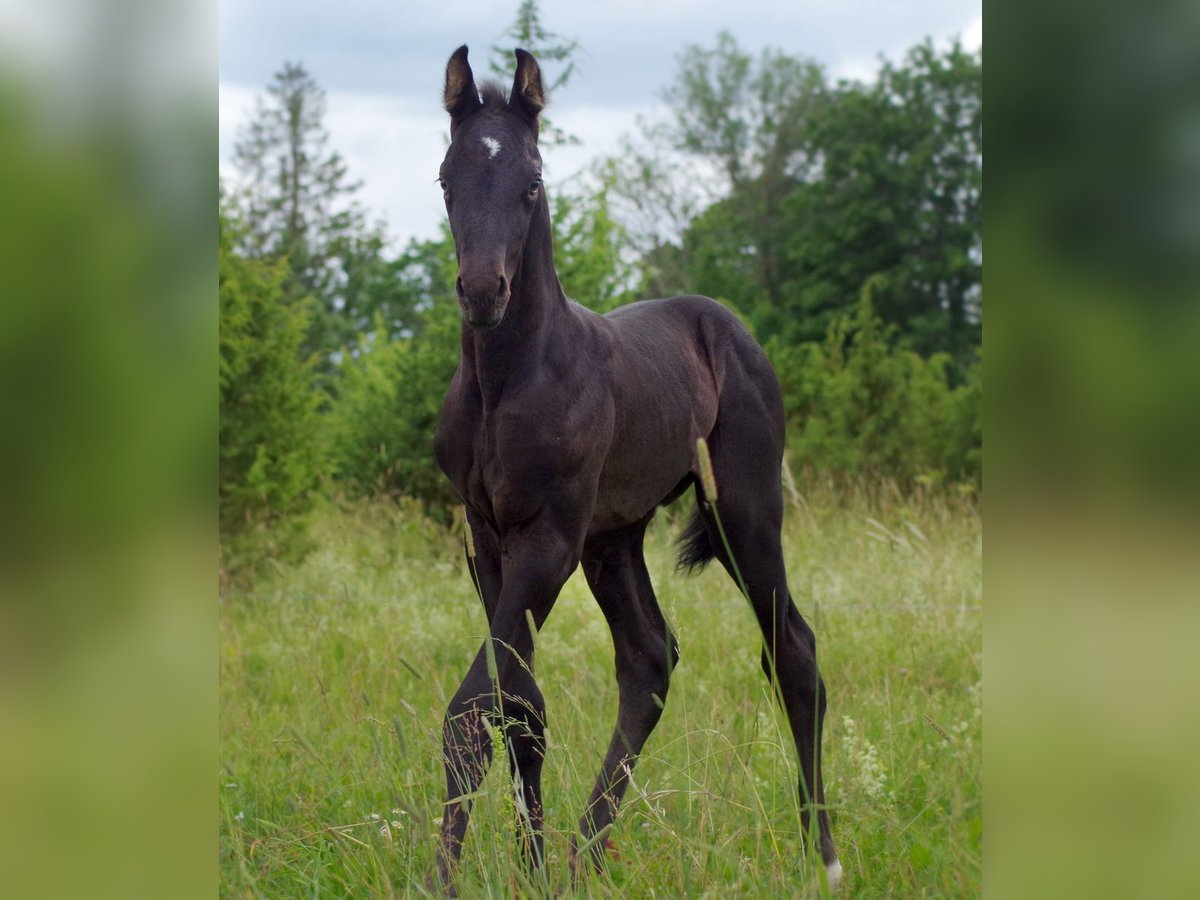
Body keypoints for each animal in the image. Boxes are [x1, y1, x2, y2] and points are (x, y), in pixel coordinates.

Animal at [434, 45, 844, 892]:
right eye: (447, 179)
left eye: (532, 182)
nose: (484, 291)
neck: (510, 379)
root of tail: (729, 326)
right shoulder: (488, 539)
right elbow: (519, 707)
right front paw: (530, 871)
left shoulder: (548, 539)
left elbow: (473, 709)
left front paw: (439, 879)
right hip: (614, 539)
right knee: (650, 660)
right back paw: (583, 856)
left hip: (742, 512)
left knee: (793, 651)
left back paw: (822, 855)